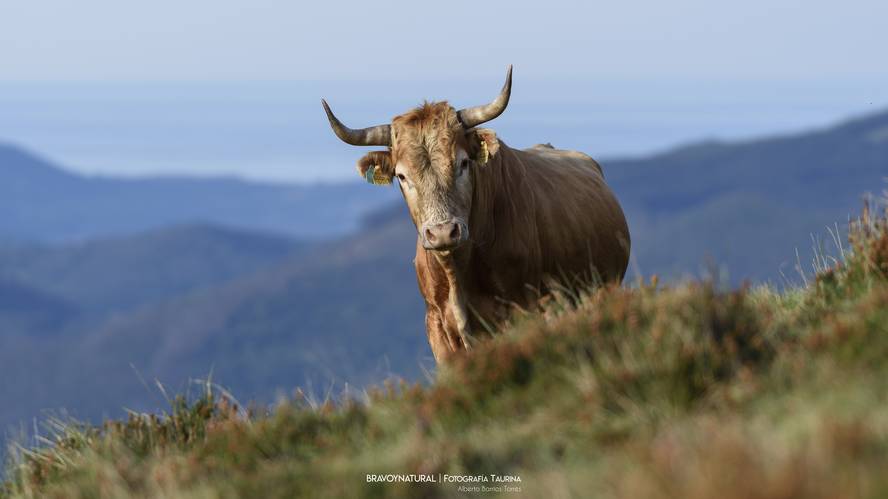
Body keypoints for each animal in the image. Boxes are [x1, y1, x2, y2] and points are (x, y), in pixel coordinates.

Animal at [322, 67, 628, 364]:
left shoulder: (528, 307)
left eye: (463, 163)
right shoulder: (437, 325)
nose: (443, 232)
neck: (458, 273)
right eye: (402, 176)